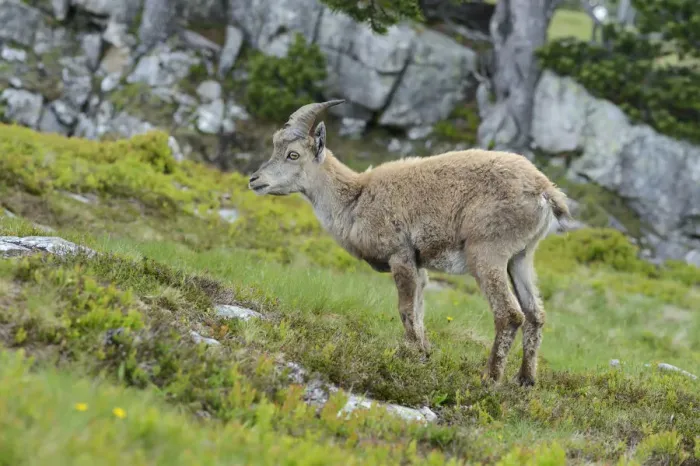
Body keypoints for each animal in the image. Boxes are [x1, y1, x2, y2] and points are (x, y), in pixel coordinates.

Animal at [248, 100, 571, 387]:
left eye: (292, 154)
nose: (254, 179)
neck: (356, 198)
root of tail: (545, 190)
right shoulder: (419, 263)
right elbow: (418, 309)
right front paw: (424, 353)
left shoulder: (400, 254)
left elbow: (405, 309)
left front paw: (411, 356)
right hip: (521, 257)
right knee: (535, 313)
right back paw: (525, 379)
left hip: (487, 252)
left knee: (510, 314)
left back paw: (489, 379)